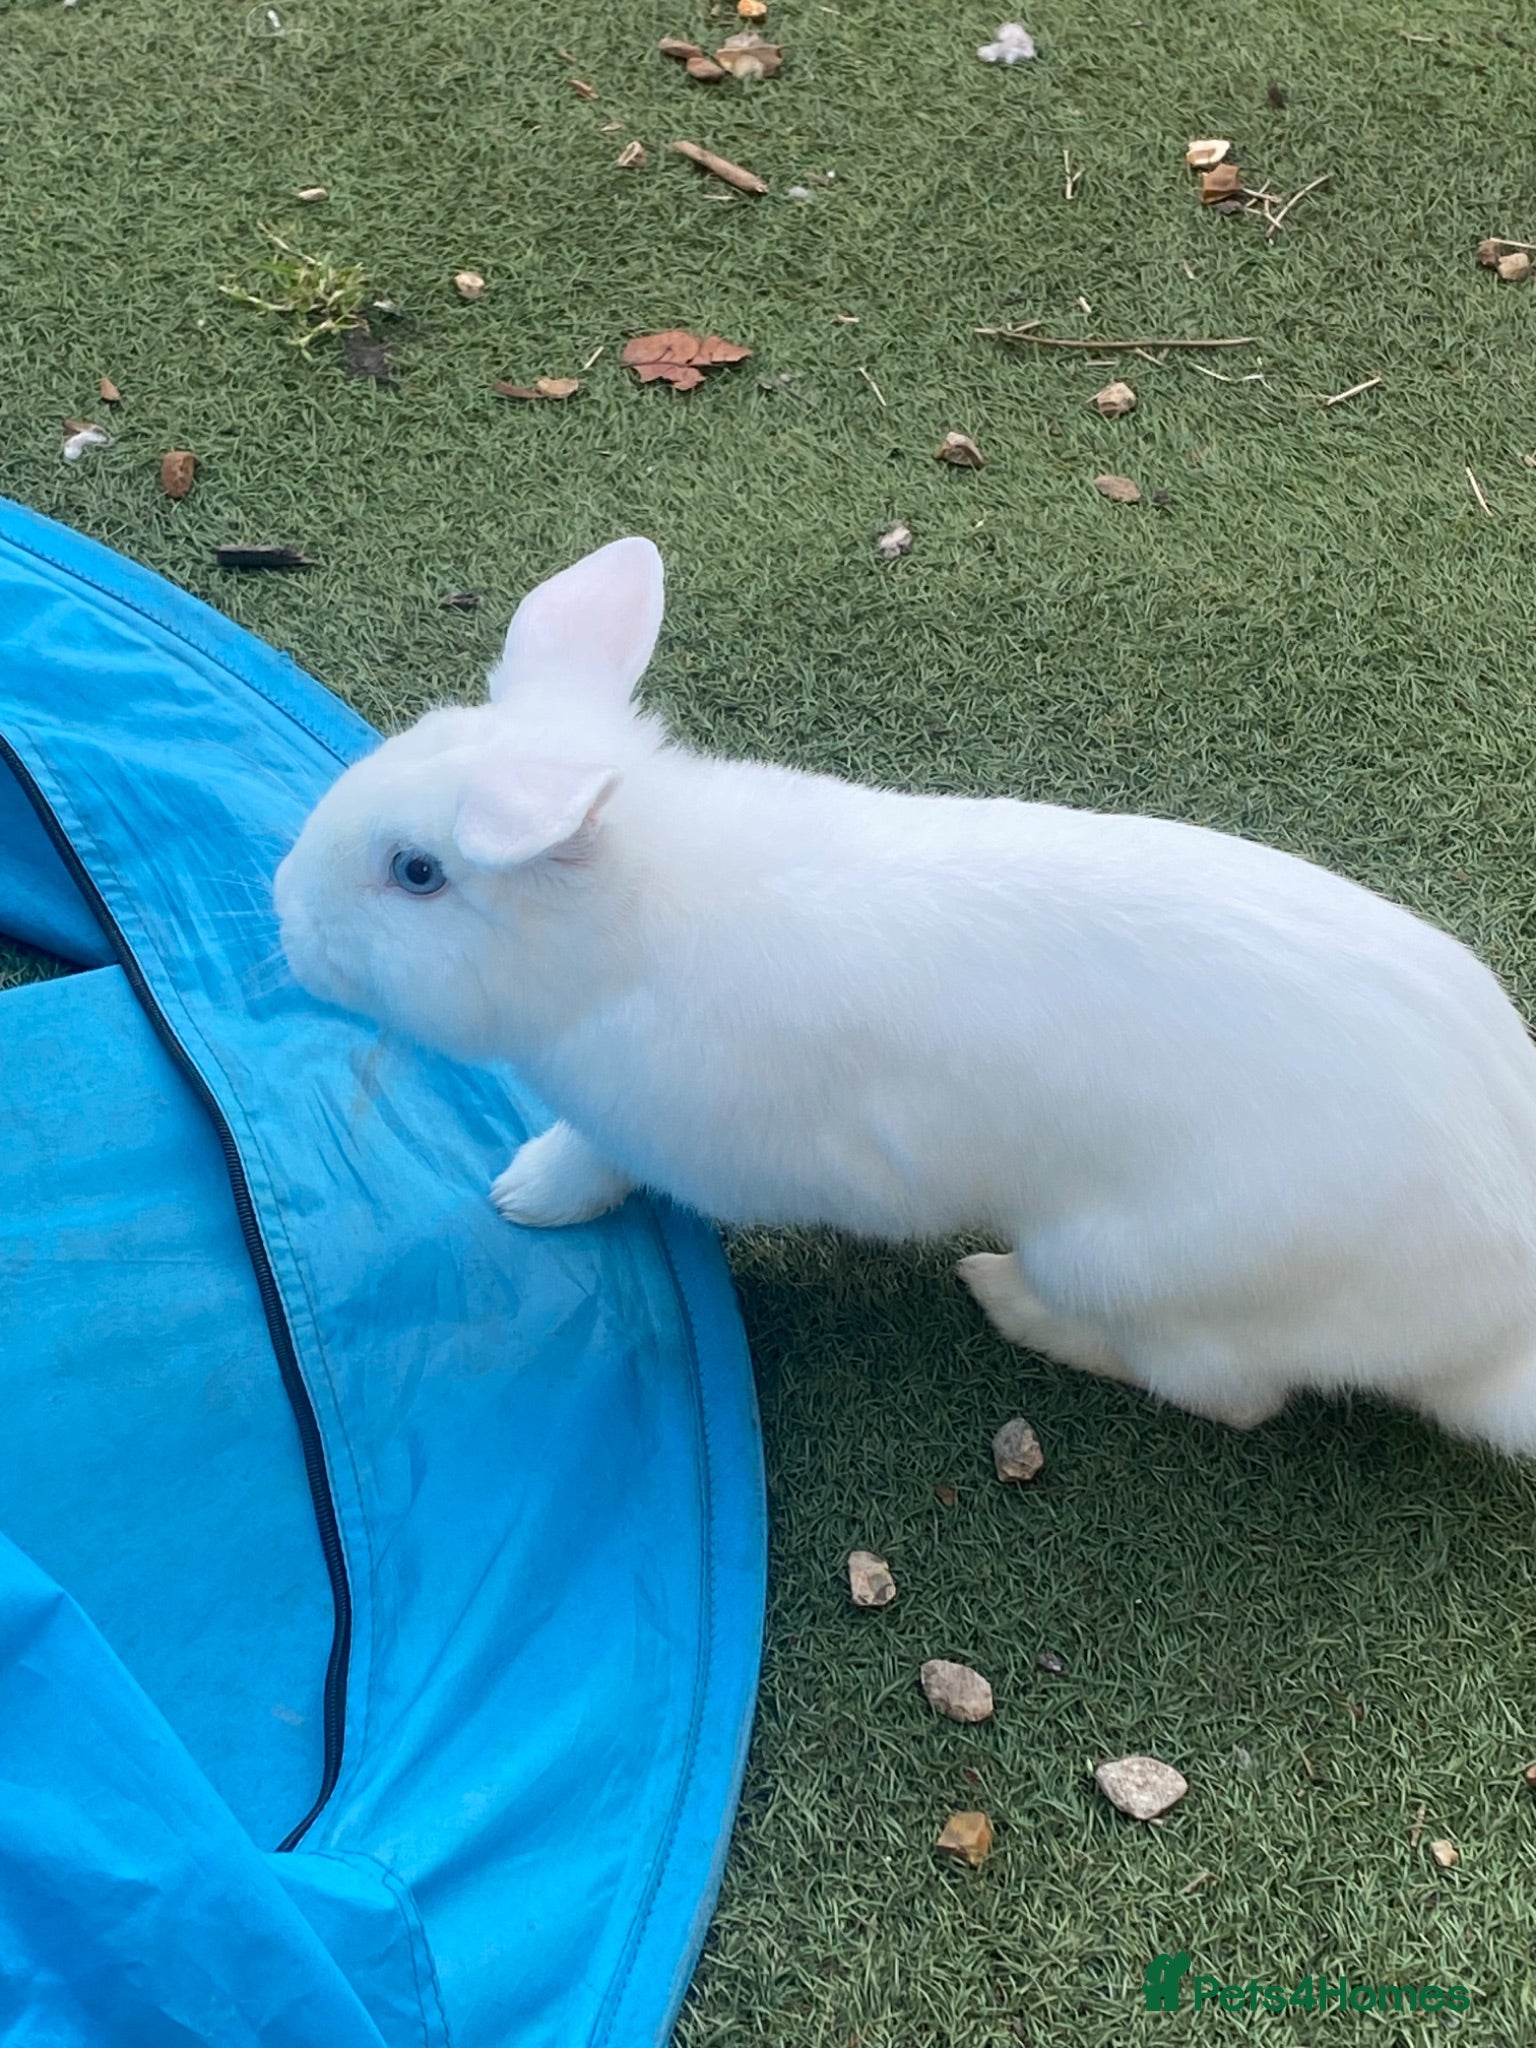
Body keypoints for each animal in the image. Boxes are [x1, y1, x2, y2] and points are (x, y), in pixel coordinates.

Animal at [274, 536, 1536, 1455]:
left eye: (419, 873)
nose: (283, 914)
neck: (631, 932)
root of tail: (1489, 1330)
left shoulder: (663, 1128)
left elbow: (602, 1158)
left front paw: (528, 1195)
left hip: (1146, 1273)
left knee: (1227, 1392)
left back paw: (1005, 1297)